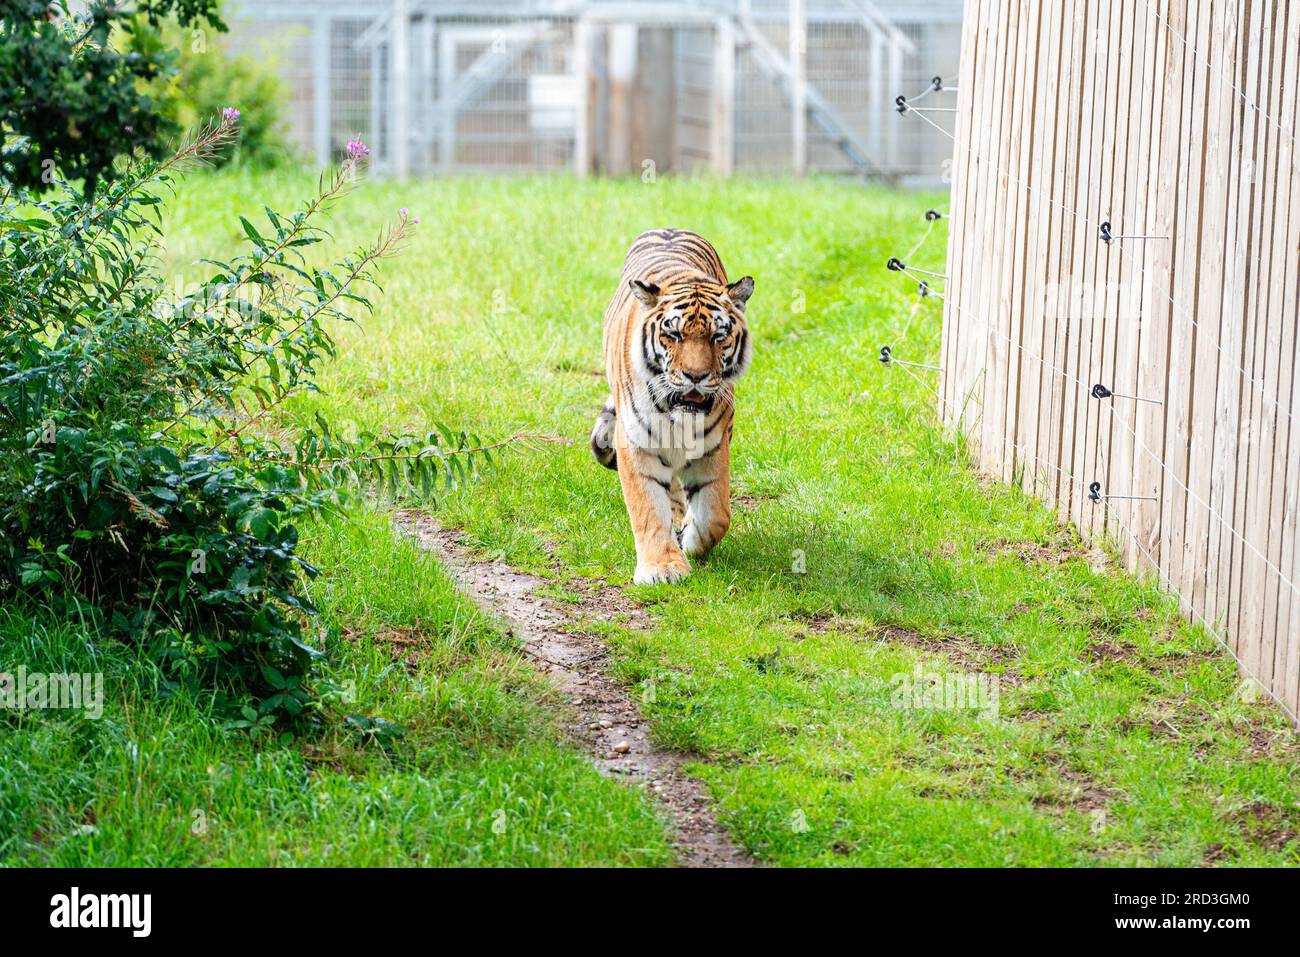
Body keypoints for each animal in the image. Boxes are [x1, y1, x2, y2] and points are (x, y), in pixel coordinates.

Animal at [590, 228, 754, 587]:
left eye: (718, 336)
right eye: (674, 335)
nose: (696, 376)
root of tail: (670, 228)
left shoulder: (713, 444)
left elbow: (716, 513)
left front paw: (691, 541)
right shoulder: (636, 443)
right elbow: (649, 509)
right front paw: (662, 569)